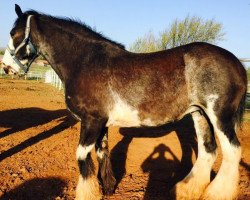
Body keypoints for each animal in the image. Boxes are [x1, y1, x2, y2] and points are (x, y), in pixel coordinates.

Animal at [1, 3, 247, 199]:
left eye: (14, 32)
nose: (7, 68)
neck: (86, 62)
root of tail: (236, 63)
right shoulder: (100, 123)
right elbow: (102, 153)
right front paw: (108, 188)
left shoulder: (91, 121)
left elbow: (82, 158)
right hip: (199, 114)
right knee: (208, 151)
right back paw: (187, 190)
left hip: (220, 116)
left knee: (232, 151)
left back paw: (215, 194)